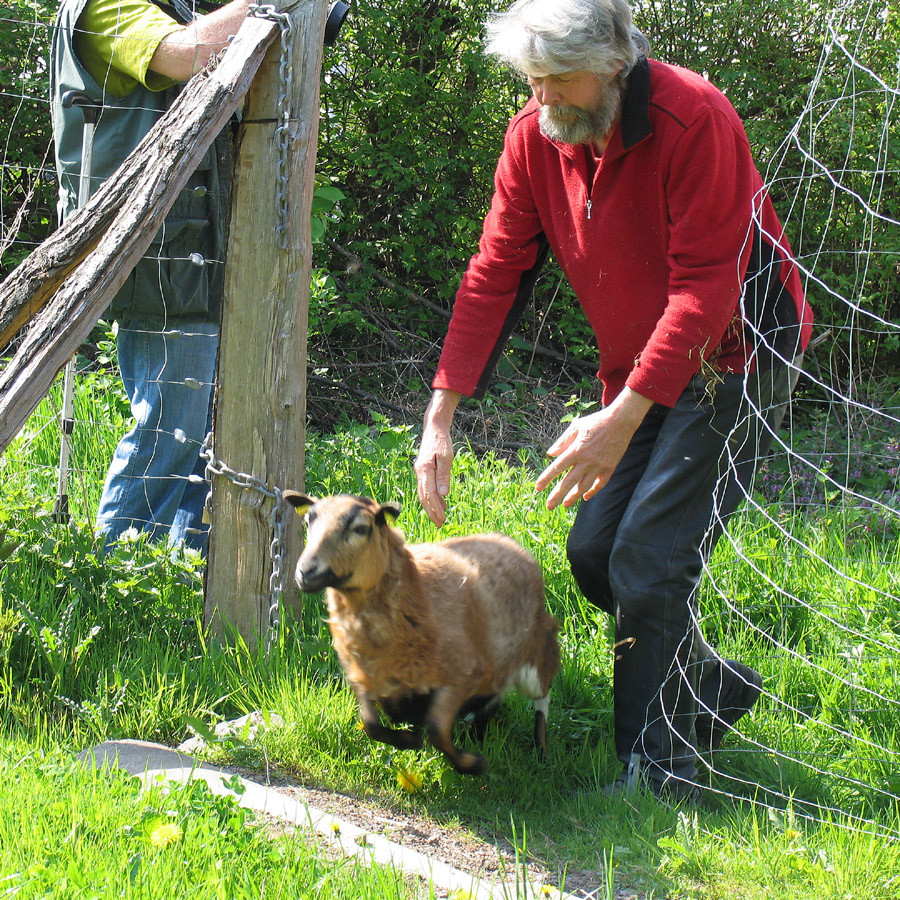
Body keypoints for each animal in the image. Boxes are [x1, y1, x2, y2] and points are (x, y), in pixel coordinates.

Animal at [284, 488, 560, 776]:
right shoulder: (363, 676)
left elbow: (437, 731)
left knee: (544, 691)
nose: (306, 572)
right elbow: (370, 724)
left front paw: (472, 764)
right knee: (495, 695)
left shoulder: (463, 674)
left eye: (361, 528)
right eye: (308, 522)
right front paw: (408, 740)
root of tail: (512, 543)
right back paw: (478, 732)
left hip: (535, 652)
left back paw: (541, 749)